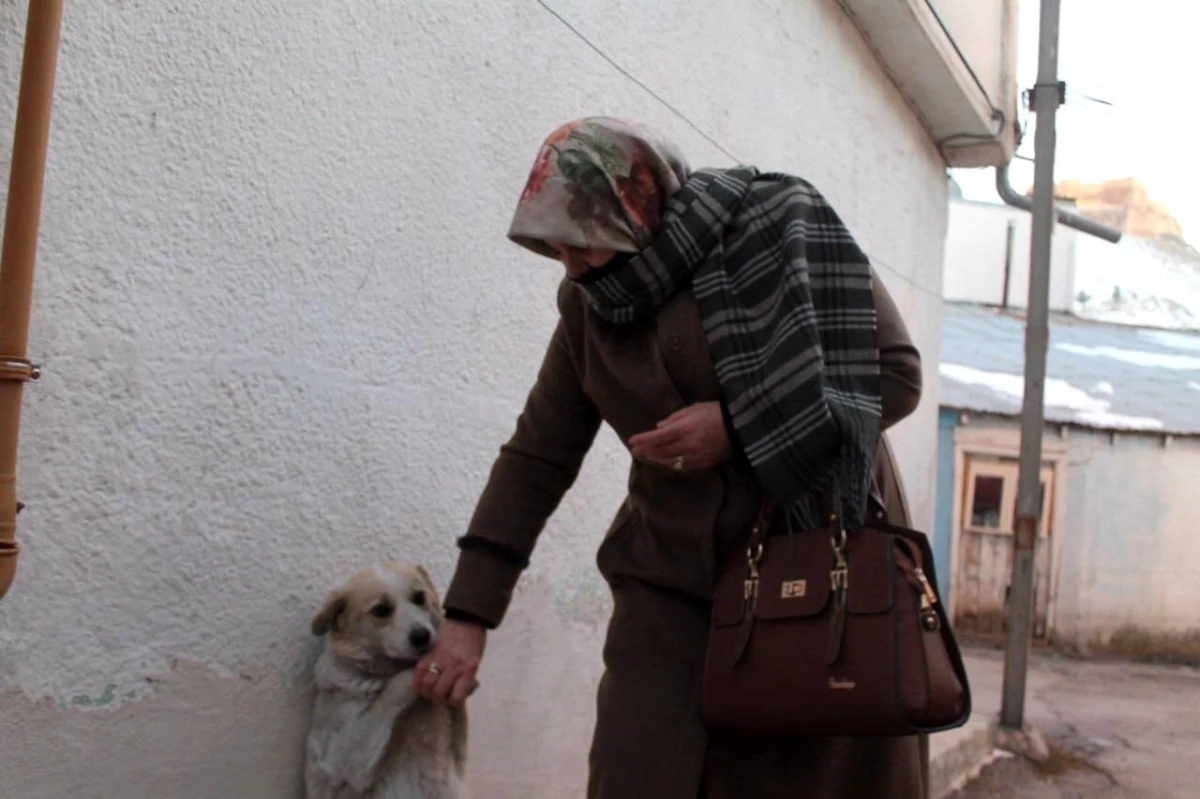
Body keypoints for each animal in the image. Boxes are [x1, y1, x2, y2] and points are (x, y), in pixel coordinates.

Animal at [302, 559, 465, 796]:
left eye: (419, 597)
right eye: (380, 610)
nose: (422, 636)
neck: (383, 672)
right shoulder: (340, 758)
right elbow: (393, 691)